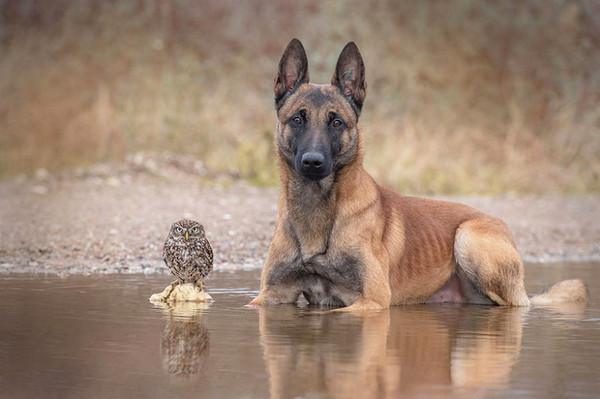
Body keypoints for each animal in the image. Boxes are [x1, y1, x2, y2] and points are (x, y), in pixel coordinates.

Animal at [247, 39, 584, 310]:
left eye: (336, 122)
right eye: (297, 119)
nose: (313, 163)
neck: (317, 209)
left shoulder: (371, 302)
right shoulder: (269, 297)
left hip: (468, 238)